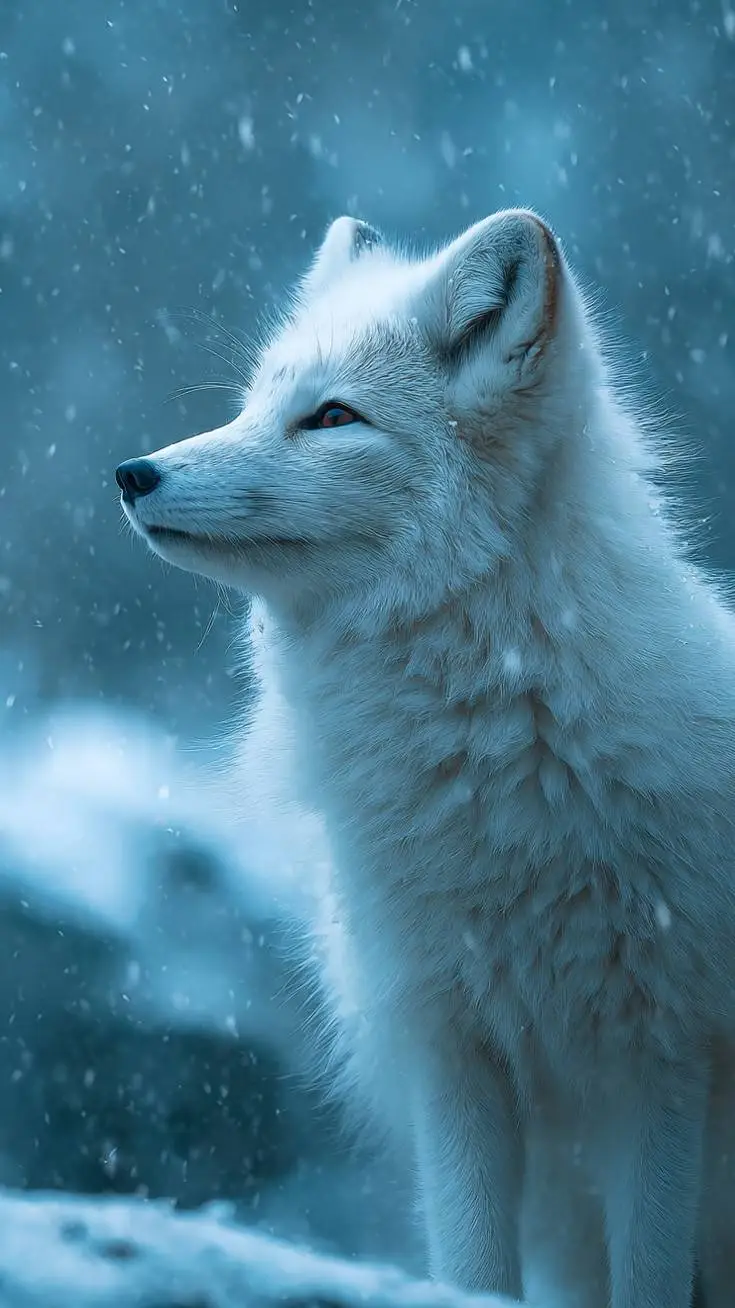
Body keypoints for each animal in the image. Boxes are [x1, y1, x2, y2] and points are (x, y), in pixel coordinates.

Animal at [116, 208, 735, 1308]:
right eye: (253, 403)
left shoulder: (662, 1055)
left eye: (332, 418)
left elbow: (650, 1274)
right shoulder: (453, 1048)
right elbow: (470, 1265)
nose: (134, 474)